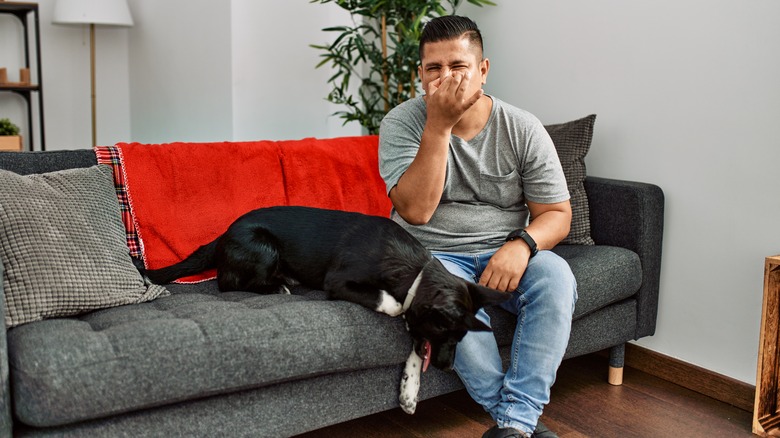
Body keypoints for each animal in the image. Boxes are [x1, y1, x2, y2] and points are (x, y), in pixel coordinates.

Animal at [143, 206, 508, 414]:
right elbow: (393, 306)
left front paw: (409, 388)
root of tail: (223, 235)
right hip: (263, 248)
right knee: (226, 282)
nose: (449, 368)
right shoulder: (340, 282)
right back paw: (277, 285)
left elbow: (415, 343)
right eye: (448, 335)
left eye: (461, 338)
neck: (412, 269)